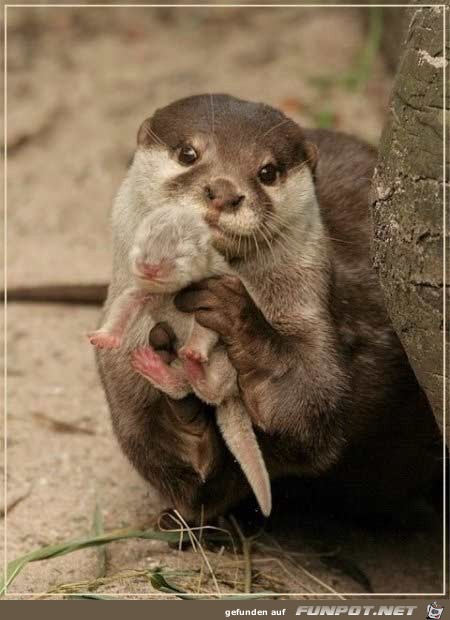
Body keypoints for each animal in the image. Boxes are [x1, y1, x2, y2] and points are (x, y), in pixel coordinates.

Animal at [96, 94, 442, 520]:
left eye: (268, 172)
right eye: (188, 153)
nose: (224, 191)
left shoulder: (316, 315)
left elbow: (313, 403)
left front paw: (236, 315)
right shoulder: (121, 375)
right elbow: (168, 465)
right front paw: (182, 413)